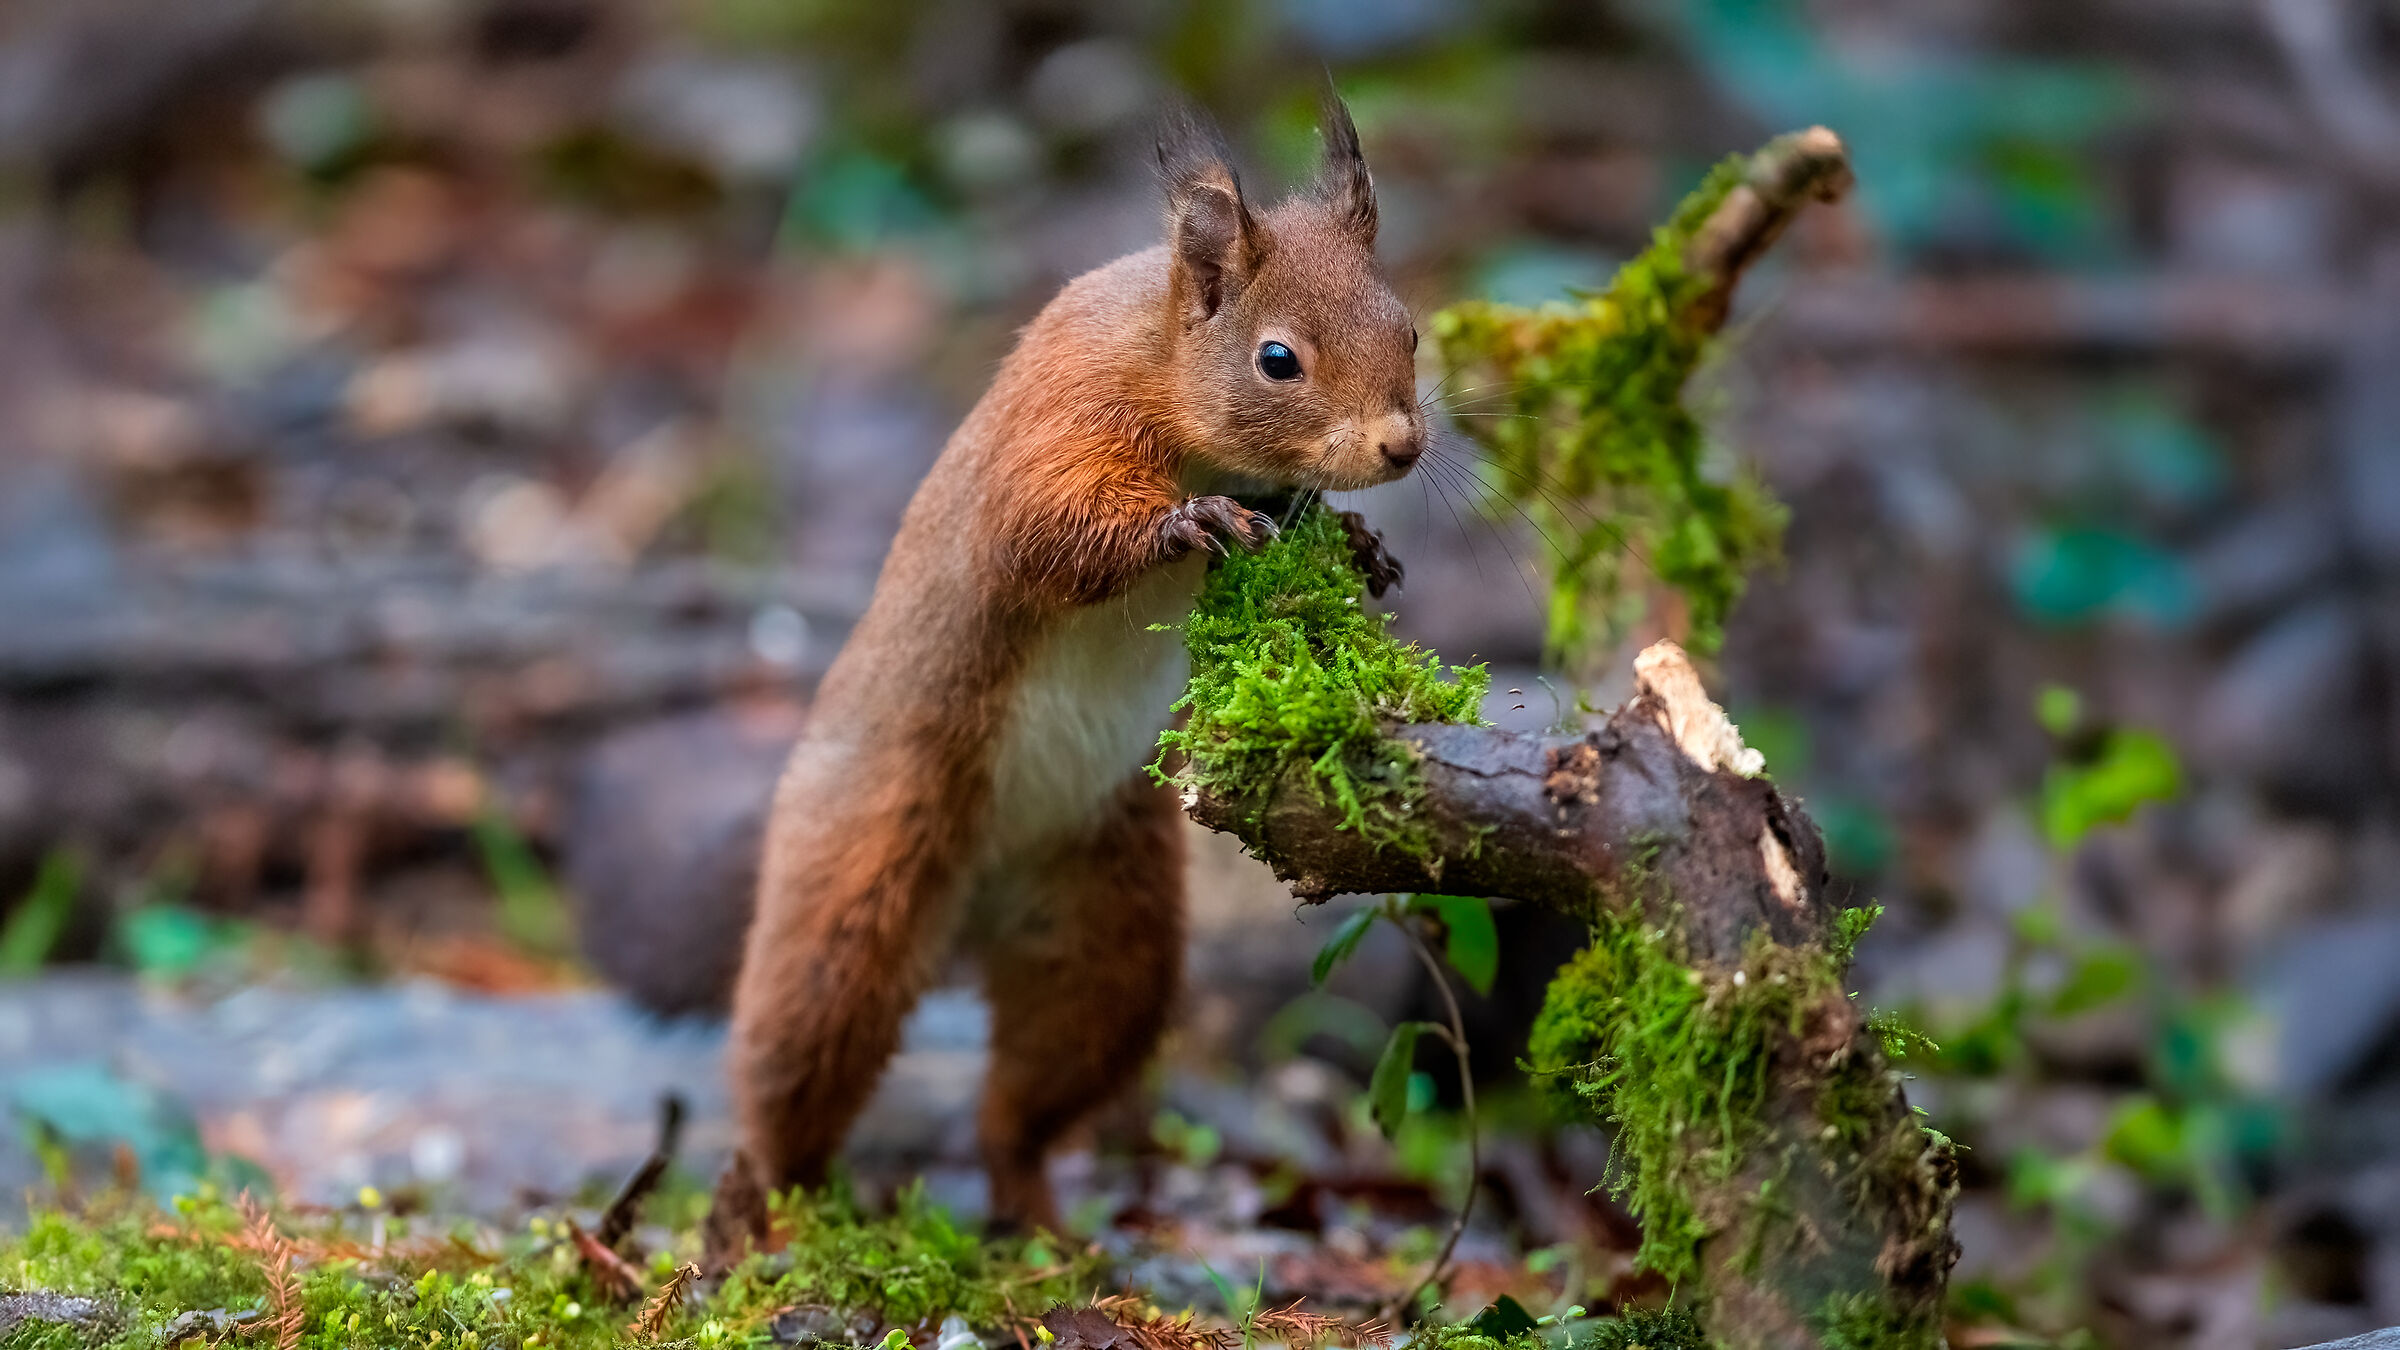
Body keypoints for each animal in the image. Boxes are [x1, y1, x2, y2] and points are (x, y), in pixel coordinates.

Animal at [706, 94, 1424, 1259]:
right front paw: (1186, 523)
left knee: (1025, 1106)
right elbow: (1047, 527)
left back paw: (1041, 1222)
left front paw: (1361, 546)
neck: (1162, 356)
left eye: (1409, 329)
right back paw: (774, 1212)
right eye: (1278, 359)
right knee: (798, 1061)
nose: (1403, 446)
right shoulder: (1064, 413)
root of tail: (977, 895)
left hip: (1103, 933)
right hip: (855, 886)